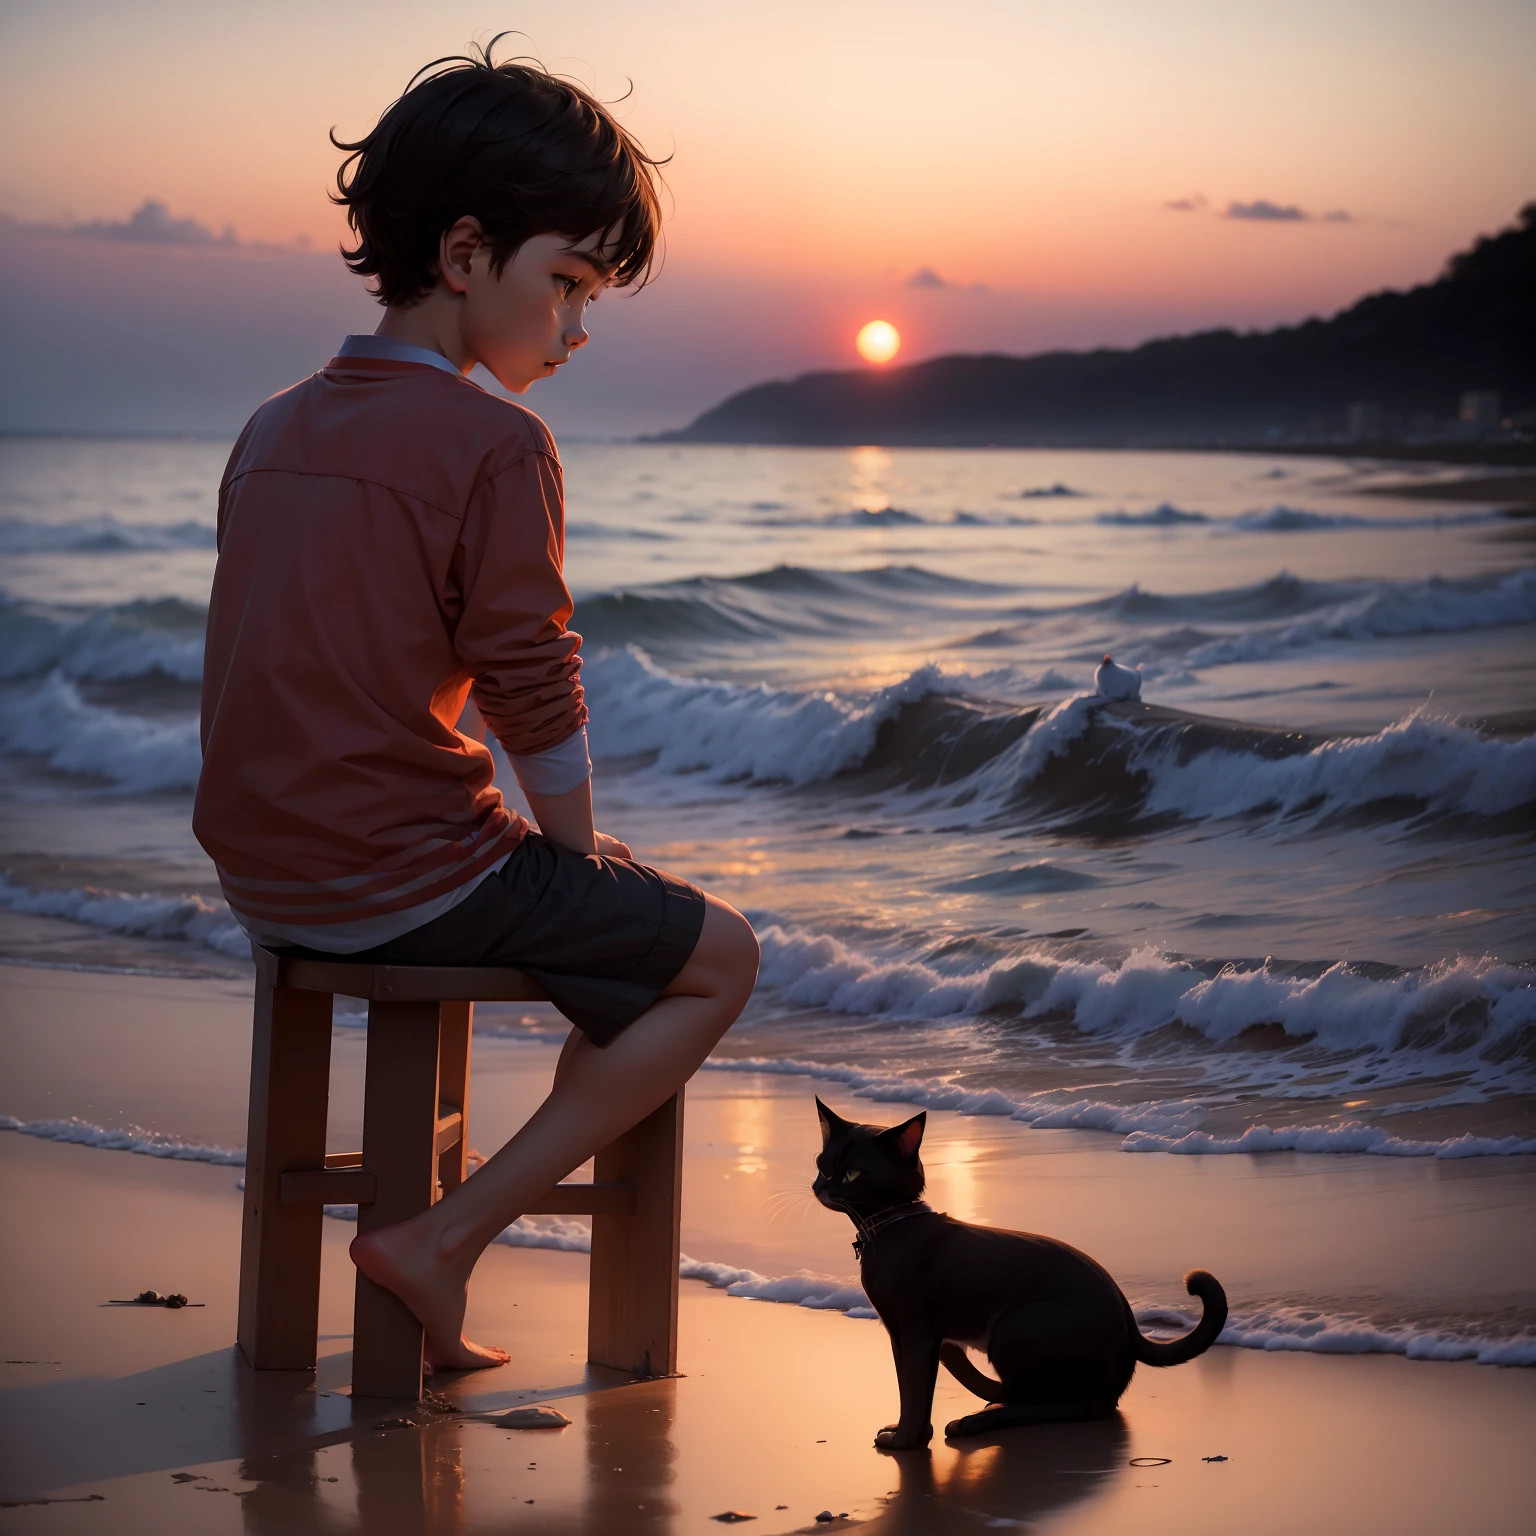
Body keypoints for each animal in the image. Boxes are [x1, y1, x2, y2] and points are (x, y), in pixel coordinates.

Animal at [811, 1099, 1228, 1443]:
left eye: (851, 1174)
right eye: (822, 1165)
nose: (820, 1186)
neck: (888, 1229)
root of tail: (1132, 1328)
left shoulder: (916, 1332)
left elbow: (914, 1390)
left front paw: (906, 1441)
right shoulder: (900, 1331)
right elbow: (906, 1386)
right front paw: (903, 1431)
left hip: (1013, 1327)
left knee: (1084, 1404)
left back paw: (976, 1422)